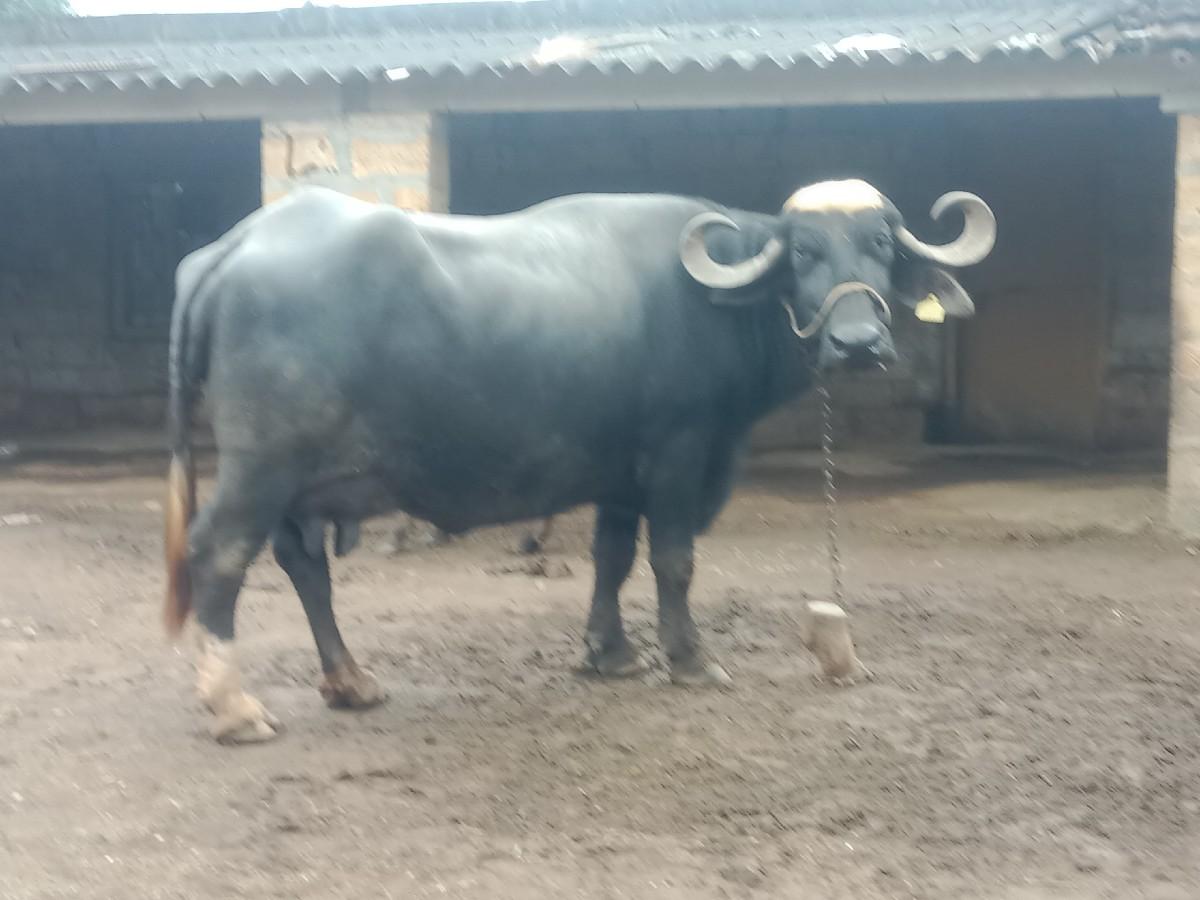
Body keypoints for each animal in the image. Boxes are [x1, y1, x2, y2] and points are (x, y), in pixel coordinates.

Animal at [163, 180, 994, 743]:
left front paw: (609, 652)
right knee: (220, 553)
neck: (714, 304)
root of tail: (233, 247)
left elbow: (612, 557)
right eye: (804, 252)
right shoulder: (680, 451)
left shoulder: (620, 474)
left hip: (299, 483)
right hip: (261, 466)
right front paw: (690, 659)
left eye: (881, 245)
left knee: (304, 566)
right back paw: (235, 706)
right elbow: (673, 561)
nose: (857, 343)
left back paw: (349, 680)